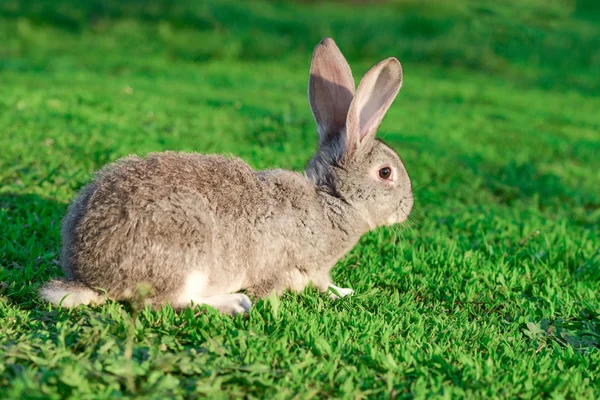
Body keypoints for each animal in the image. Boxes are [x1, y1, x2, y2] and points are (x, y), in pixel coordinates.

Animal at [37, 37, 412, 314]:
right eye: (386, 172)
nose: (407, 208)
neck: (330, 200)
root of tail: (90, 278)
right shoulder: (298, 265)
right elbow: (302, 284)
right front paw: (340, 292)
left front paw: (344, 289)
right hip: (186, 248)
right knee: (163, 302)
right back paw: (232, 303)